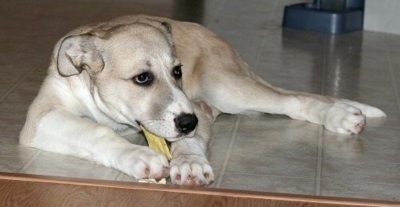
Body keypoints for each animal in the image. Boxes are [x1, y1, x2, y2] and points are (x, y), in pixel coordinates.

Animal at [20, 14, 386, 186]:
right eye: (142, 78)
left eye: (177, 71)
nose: (188, 122)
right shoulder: (40, 119)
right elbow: (94, 131)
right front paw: (138, 156)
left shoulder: (196, 108)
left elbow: (188, 142)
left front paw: (190, 163)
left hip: (224, 87)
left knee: (293, 99)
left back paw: (342, 116)